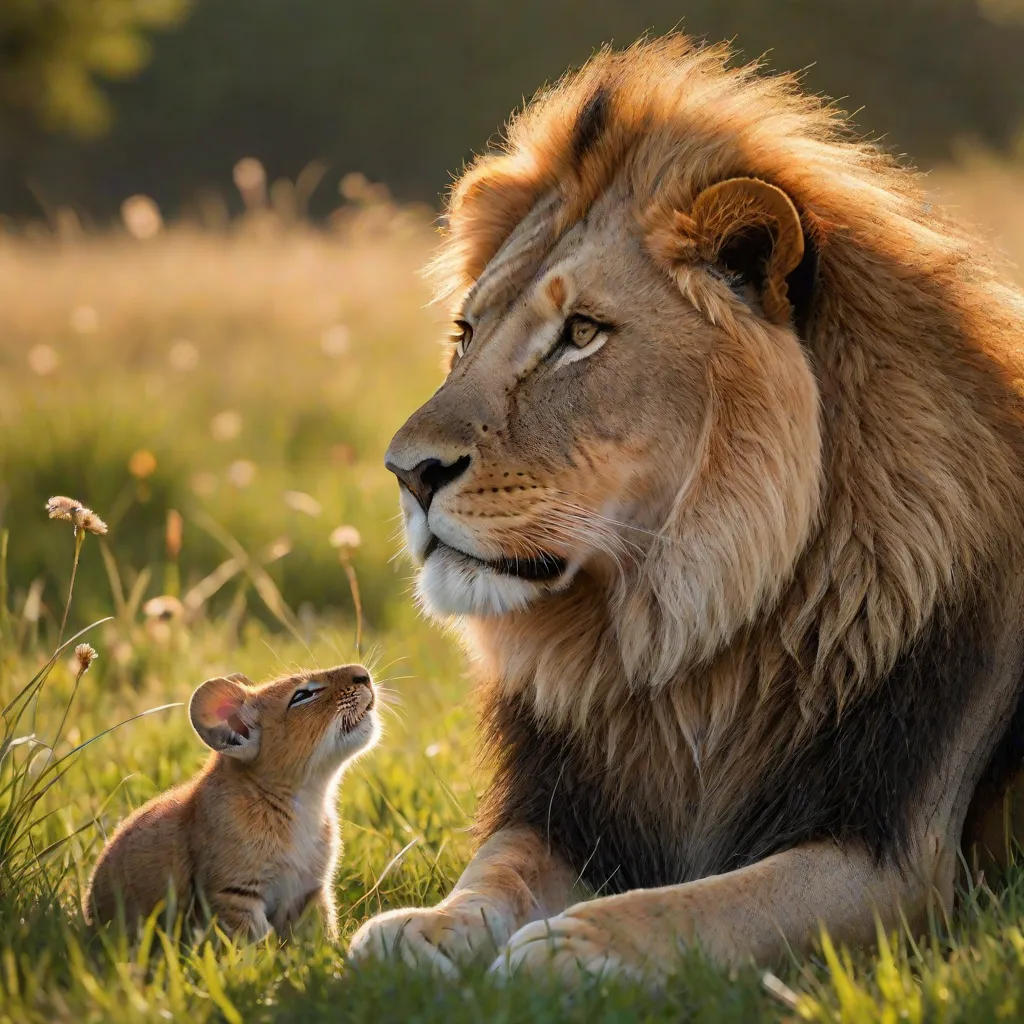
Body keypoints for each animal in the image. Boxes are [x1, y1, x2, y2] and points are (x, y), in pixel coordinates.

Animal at [349, 35, 1024, 982]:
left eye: (581, 334)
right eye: (467, 335)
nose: (407, 473)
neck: (678, 636)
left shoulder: (897, 858)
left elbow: (712, 902)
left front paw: (577, 947)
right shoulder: (570, 815)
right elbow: (496, 869)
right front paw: (425, 931)